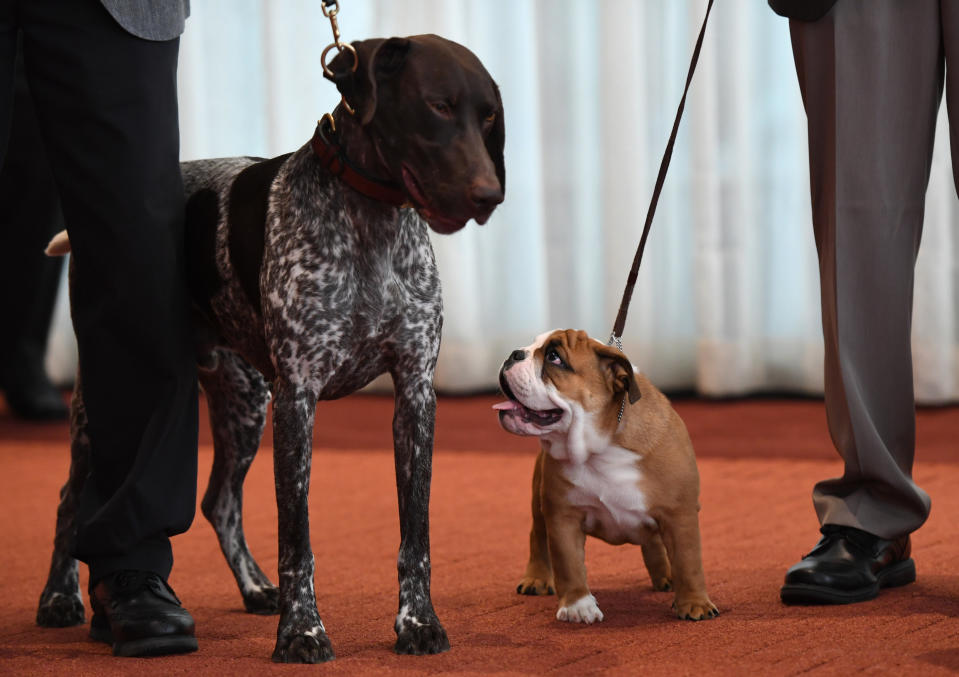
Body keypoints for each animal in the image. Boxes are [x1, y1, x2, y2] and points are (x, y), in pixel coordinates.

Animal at [34, 34, 506, 664]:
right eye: (438, 106)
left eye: (489, 118)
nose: (489, 195)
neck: (371, 223)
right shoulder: (297, 398)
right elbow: (297, 541)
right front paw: (301, 631)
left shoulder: (414, 395)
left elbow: (416, 534)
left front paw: (417, 621)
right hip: (107, 401)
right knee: (70, 500)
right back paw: (63, 598)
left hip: (243, 404)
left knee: (219, 502)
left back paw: (250, 588)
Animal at [498, 328, 716, 624]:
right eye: (533, 345)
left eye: (554, 357)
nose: (514, 354)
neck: (601, 445)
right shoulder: (563, 516)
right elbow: (568, 564)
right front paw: (578, 606)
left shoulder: (679, 514)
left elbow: (688, 560)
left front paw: (694, 604)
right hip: (538, 504)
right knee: (538, 538)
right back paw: (537, 579)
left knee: (656, 542)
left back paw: (666, 576)